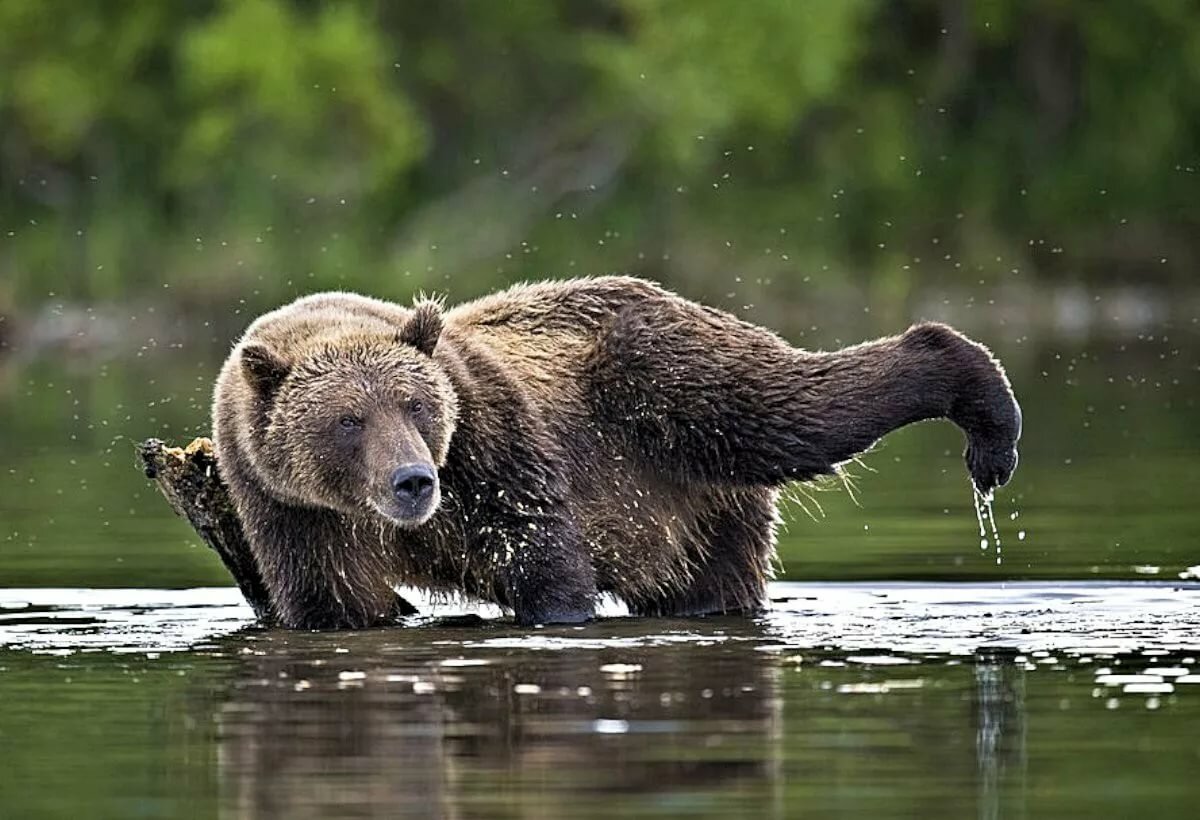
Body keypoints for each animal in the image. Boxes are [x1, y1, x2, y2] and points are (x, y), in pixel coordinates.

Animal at [211, 276, 1017, 629]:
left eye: (417, 405)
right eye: (349, 420)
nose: (413, 480)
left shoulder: (491, 443)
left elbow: (539, 548)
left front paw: (560, 611)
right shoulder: (289, 509)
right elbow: (335, 600)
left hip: (665, 384)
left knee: (796, 410)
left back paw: (983, 418)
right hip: (694, 512)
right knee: (713, 574)